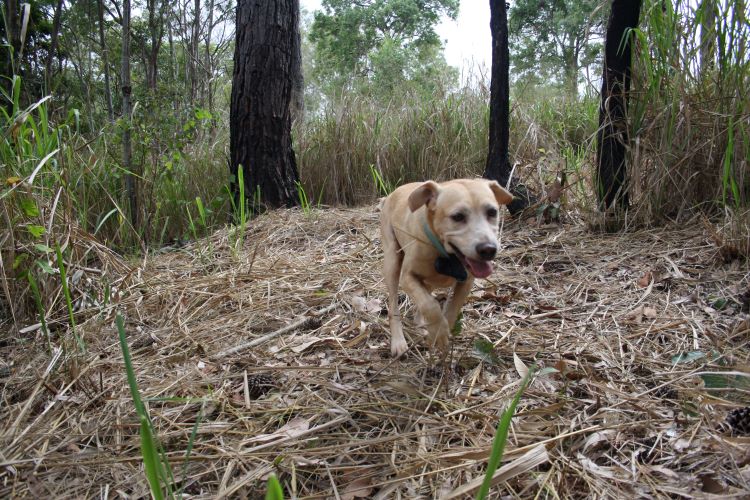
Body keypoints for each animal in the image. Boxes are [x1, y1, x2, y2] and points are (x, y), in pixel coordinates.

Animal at [378, 178, 516, 358]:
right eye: (457, 216)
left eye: (492, 212)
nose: (488, 249)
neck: (446, 254)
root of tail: (392, 194)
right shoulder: (407, 278)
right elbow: (430, 305)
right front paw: (438, 332)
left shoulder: (466, 282)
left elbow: (451, 309)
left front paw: (441, 332)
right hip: (392, 262)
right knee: (394, 305)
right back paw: (399, 341)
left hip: (427, 281)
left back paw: (421, 326)